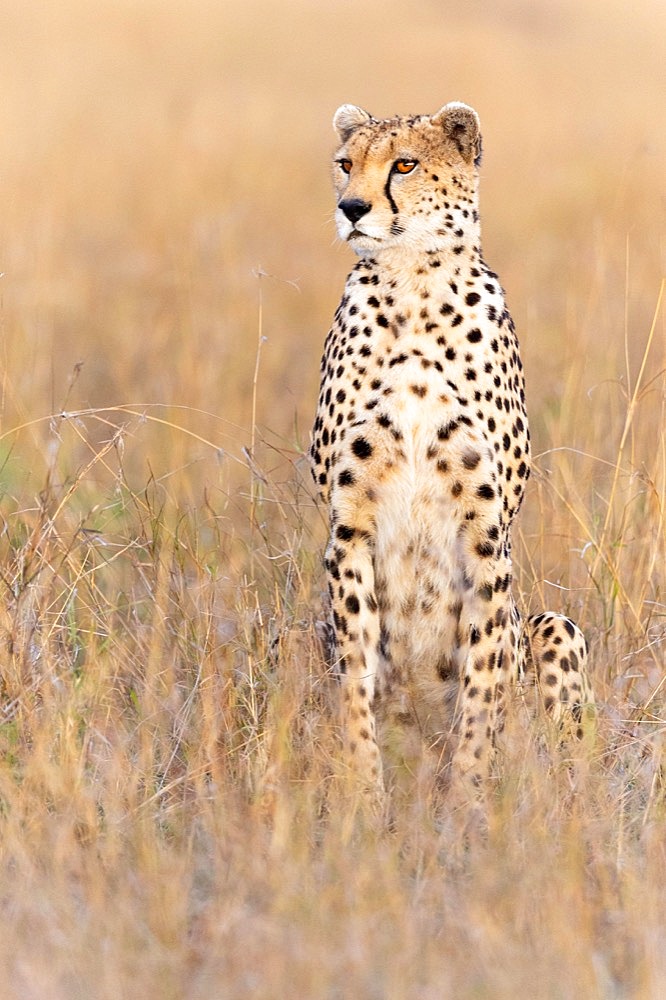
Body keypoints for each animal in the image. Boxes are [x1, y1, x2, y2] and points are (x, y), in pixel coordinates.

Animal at [308, 101, 592, 804]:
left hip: (556, 626)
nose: (352, 207)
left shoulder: (485, 532)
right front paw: (363, 796)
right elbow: (358, 676)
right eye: (345, 163)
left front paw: (468, 800)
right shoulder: (348, 527)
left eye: (406, 165)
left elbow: (483, 684)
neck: (411, 284)